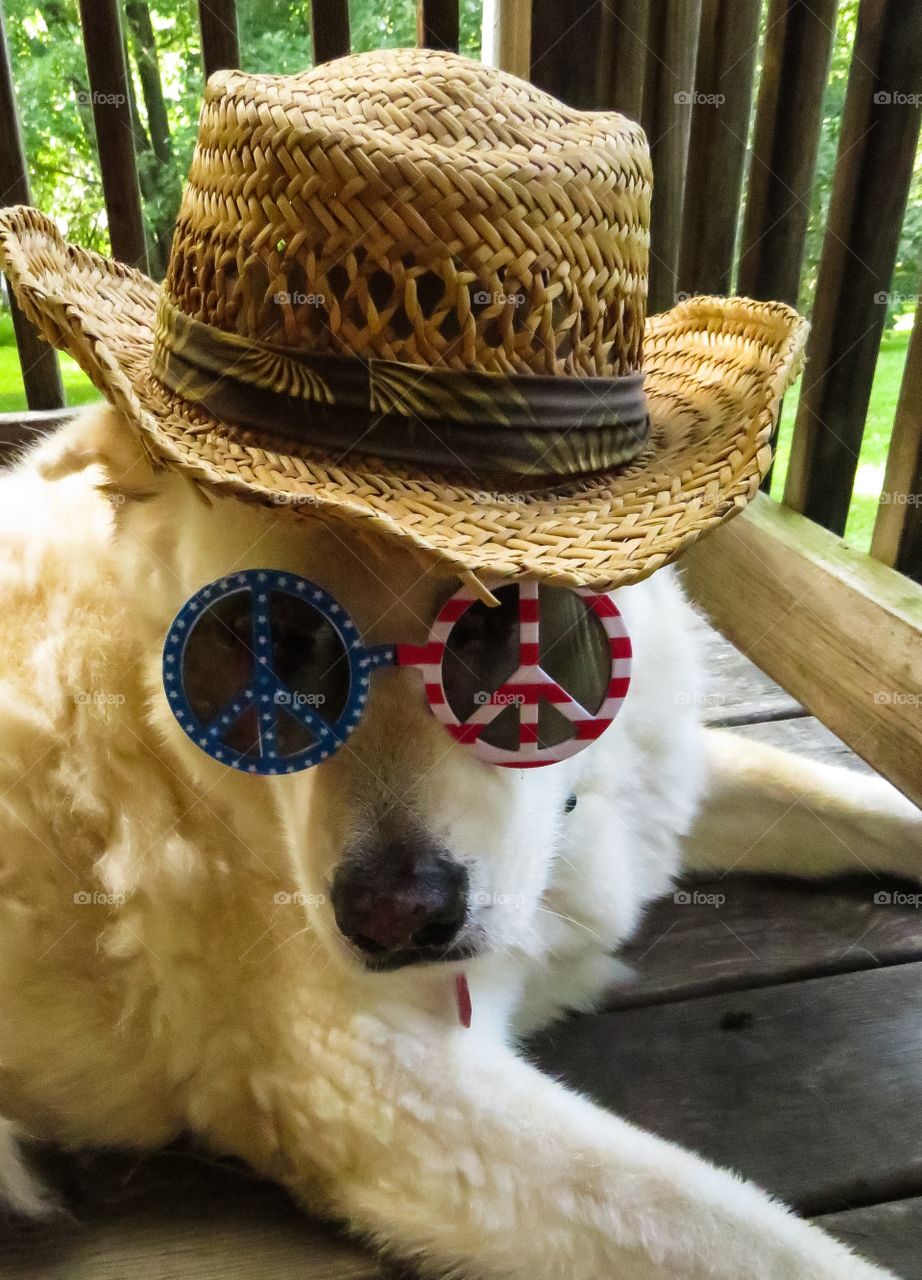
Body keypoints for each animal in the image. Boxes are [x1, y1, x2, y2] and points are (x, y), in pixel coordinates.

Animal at [0, 394, 916, 1274]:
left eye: (502, 618)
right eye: (264, 644)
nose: (393, 919)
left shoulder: (659, 790)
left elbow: (851, 798)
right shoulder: (398, 1097)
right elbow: (754, 1239)